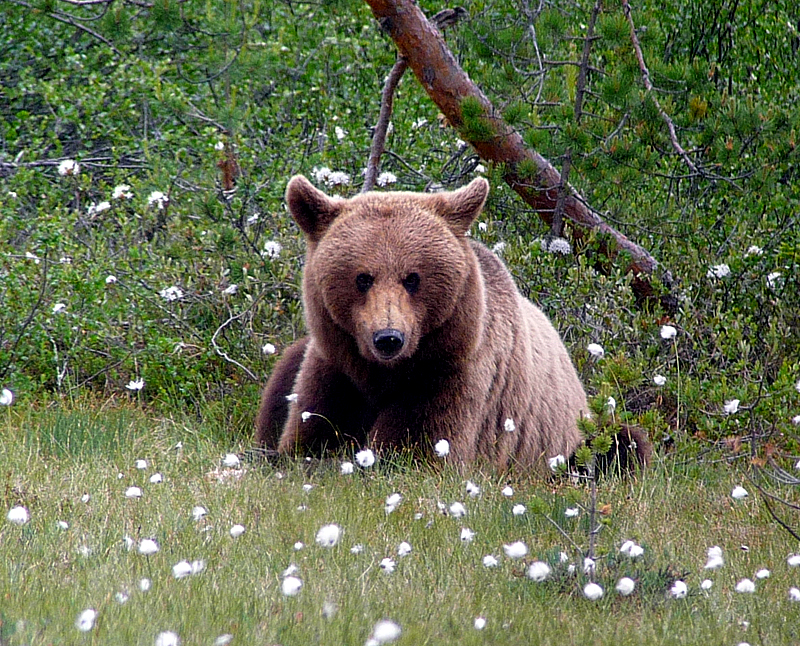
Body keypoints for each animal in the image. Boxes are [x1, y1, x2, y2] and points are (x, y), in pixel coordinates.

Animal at [256, 175, 648, 474]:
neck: (383, 375)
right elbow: (309, 435)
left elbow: (419, 449)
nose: (388, 338)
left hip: (577, 438)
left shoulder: (450, 373)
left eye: (412, 278)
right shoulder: (337, 369)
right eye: (362, 278)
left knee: (624, 444)